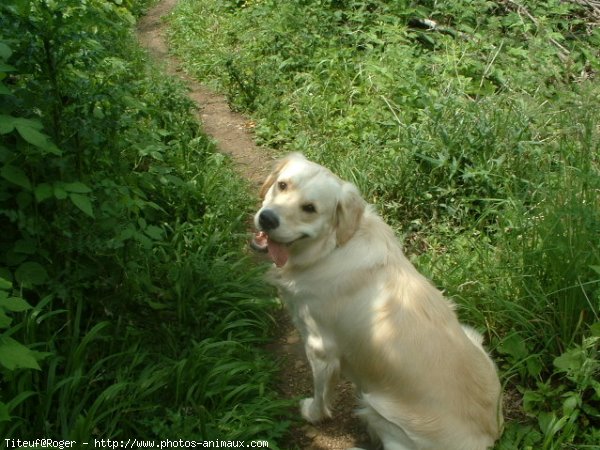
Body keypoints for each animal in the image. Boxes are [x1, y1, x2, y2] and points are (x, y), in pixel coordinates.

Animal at [251, 153, 504, 448]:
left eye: (310, 208)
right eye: (282, 185)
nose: (267, 219)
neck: (331, 248)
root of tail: (488, 436)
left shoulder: (319, 347)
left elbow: (321, 395)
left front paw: (312, 413)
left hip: (379, 411)